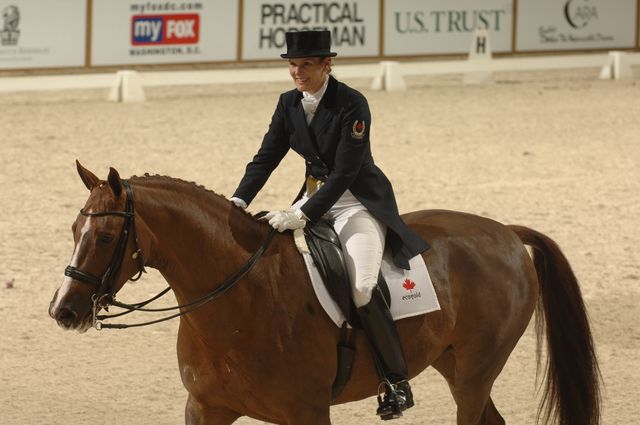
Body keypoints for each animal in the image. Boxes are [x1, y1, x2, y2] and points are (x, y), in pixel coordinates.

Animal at [48, 161, 600, 424]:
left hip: (473, 374)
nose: (64, 311)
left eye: (104, 237)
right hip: (453, 363)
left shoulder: (307, 414)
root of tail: (505, 232)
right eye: (73, 228)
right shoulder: (205, 409)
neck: (238, 301)